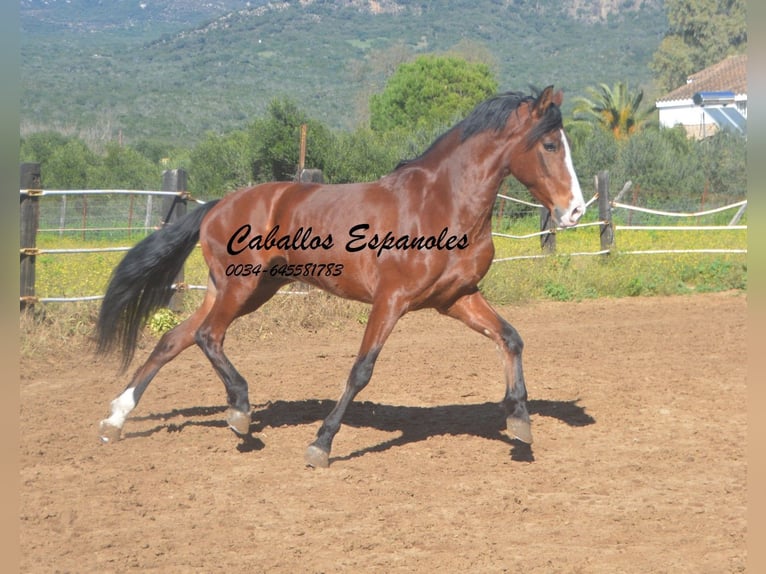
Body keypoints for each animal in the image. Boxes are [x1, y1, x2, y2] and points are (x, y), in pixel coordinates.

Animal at [96, 88, 588, 470]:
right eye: (549, 145)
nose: (575, 211)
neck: (441, 203)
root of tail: (218, 204)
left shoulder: (457, 298)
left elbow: (511, 338)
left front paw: (519, 422)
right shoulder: (391, 300)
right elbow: (361, 370)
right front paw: (321, 445)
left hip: (241, 289)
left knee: (174, 340)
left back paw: (116, 419)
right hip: (242, 287)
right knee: (207, 337)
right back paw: (240, 412)